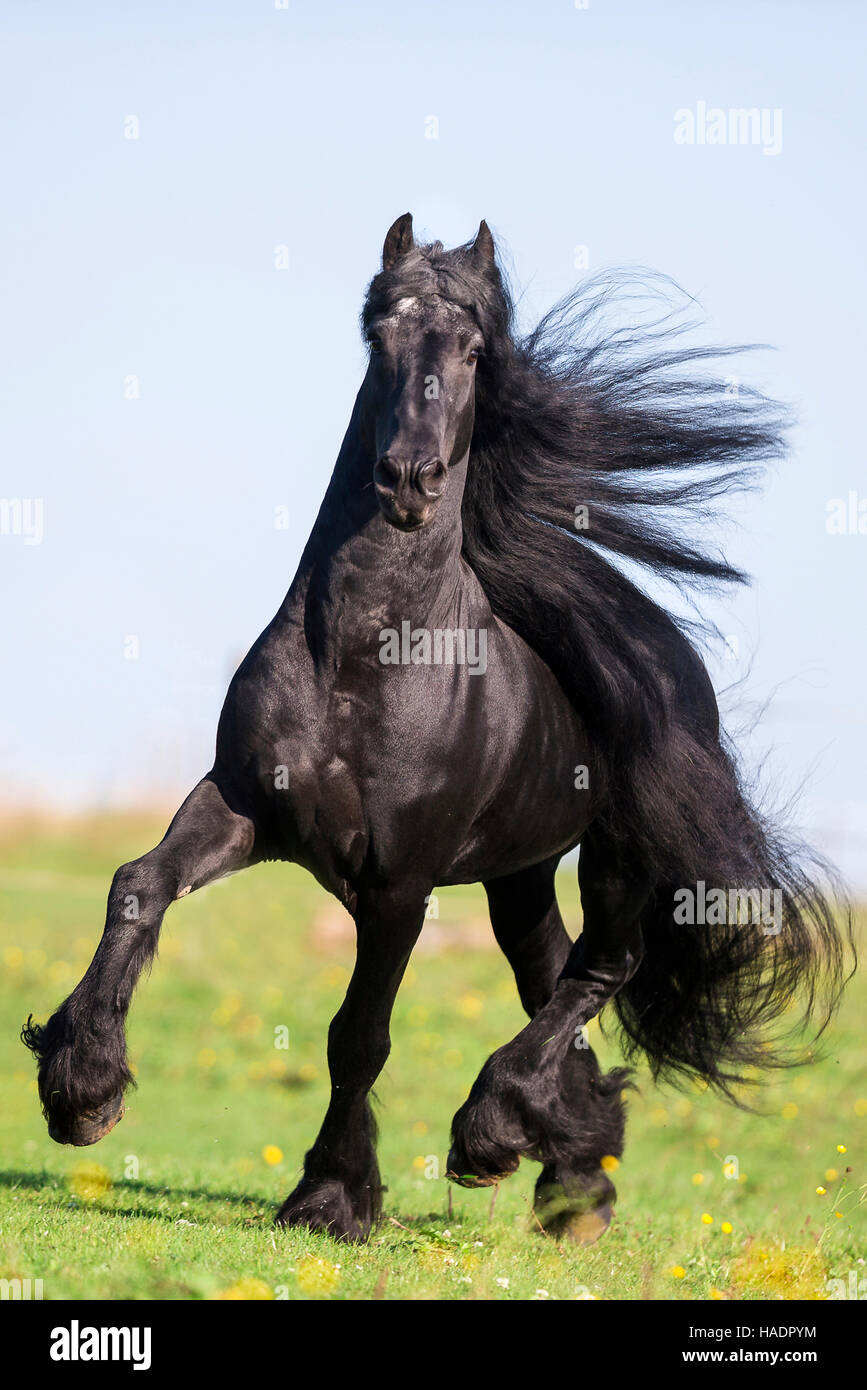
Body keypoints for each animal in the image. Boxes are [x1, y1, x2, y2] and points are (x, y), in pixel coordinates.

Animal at [22, 219, 855, 1251]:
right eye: (379, 337)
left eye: (471, 352)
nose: (409, 479)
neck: (363, 659)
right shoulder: (243, 807)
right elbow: (138, 885)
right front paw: (82, 1091)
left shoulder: (399, 886)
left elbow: (357, 1034)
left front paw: (331, 1196)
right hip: (518, 875)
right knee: (550, 977)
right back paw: (572, 1178)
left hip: (616, 856)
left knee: (601, 968)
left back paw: (493, 1138)